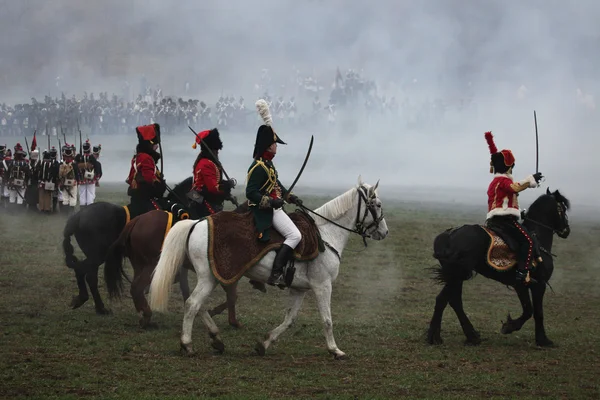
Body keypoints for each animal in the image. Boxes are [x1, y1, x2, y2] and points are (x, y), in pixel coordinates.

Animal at [61, 177, 192, 314]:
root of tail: (78, 216)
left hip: (95, 256)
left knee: (88, 274)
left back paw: (97, 306)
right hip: (98, 255)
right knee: (85, 272)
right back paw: (91, 302)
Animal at [103, 211, 246, 330]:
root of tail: (136, 220)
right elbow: (232, 296)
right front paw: (227, 319)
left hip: (139, 266)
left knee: (137, 289)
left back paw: (143, 316)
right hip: (152, 266)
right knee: (137, 287)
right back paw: (147, 316)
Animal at [148, 178, 386, 360]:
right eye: (377, 204)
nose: (384, 232)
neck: (325, 235)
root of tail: (197, 223)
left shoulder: (299, 289)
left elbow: (289, 320)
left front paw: (264, 344)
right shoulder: (322, 286)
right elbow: (327, 320)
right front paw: (335, 350)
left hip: (213, 277)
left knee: (198, 304)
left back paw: (216, 338)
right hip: (209, 278)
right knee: (192, 304)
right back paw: (187, 344)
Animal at [426, 188, 572, 346]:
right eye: (563, 209)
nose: (566, 230)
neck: (538, 238)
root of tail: (448, 236)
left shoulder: (521, 285)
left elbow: (529, 310)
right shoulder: (537, 284)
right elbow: (535, 311)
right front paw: (540, 339)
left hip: (457, 276)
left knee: (451, 301)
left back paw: (462, 336)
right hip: (458, 274)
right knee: (447, 300)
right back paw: (440, 336)